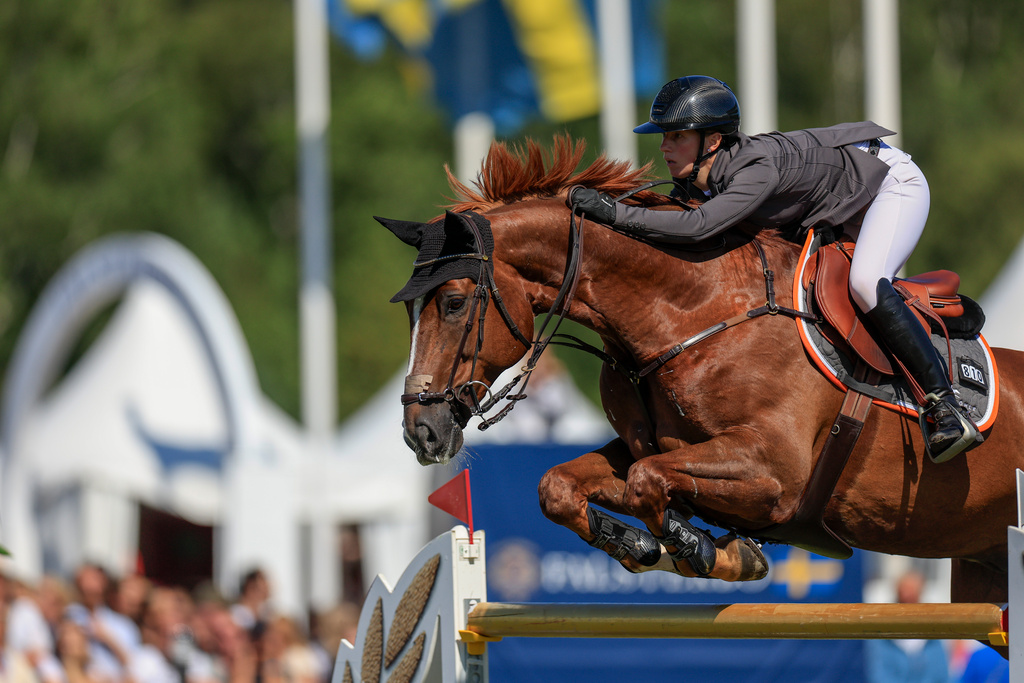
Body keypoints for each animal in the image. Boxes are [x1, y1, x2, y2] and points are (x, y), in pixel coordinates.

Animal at [382, 137, 1024, 602]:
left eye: (454, 303)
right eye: (410, 309)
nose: (422, 434)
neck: (689, 312)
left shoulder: (773, 475)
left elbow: (647, 484)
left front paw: (707, 550)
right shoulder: (652, 449)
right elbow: (561, 486)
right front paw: (646, 546)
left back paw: (949, 423)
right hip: (983, 565)